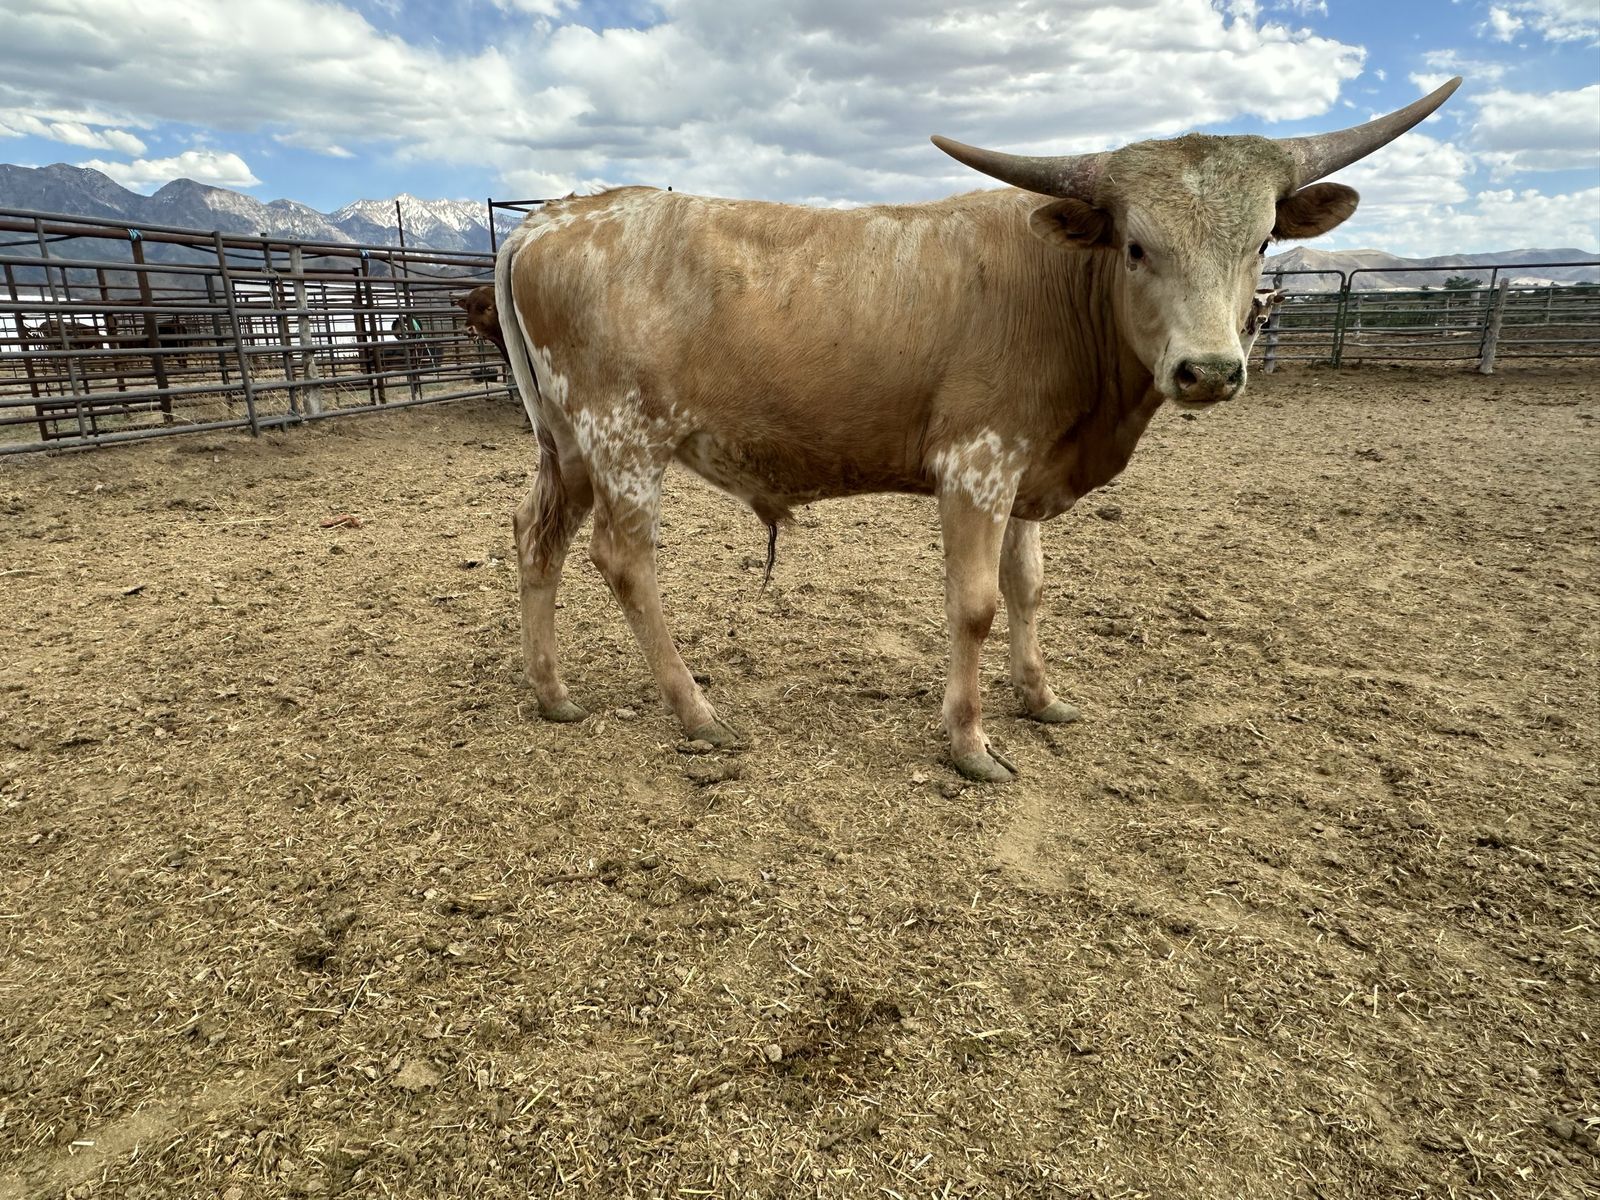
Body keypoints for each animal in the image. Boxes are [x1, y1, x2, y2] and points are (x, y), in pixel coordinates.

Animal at [495, 78, 1461, 781]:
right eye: (1136, 246)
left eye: (1262, 243)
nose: (1211, 370)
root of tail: (550, 218)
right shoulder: (976, 465)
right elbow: (977, 603)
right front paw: (969, 742)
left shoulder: (1030, 472)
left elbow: (1029, 589)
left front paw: (1039, 696)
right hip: (624, 438)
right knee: (625, 563)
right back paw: (697, 713)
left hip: (569, 442)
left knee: (538, 538)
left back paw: (551, 692)